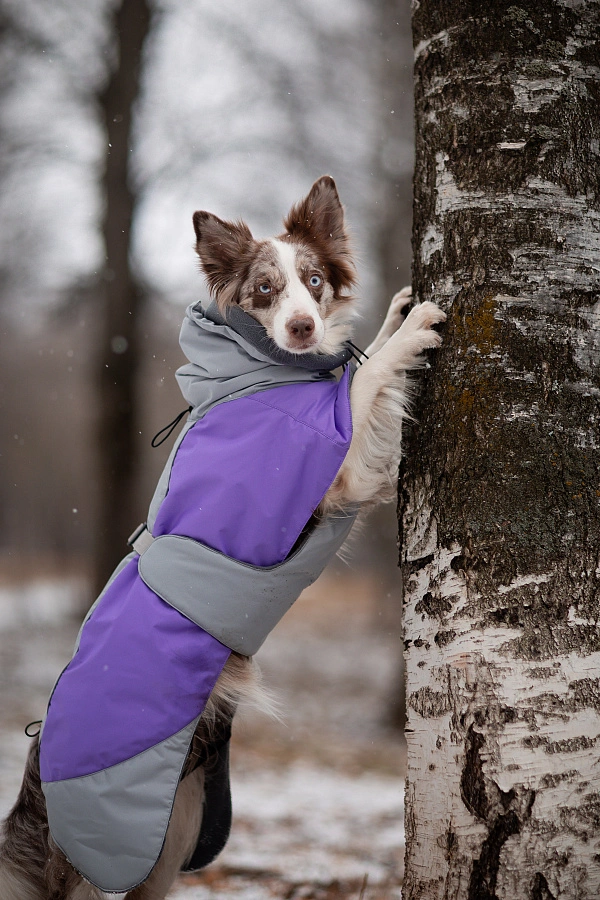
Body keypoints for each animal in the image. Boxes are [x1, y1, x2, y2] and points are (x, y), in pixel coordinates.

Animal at [0, 172, 446, 896]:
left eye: (314, 280)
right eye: (264, 289)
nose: (301, 326)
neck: (259, 370)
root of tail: (29, 797)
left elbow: (359, 370)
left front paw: (392, 314)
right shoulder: (341, 470)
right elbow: (364, 381)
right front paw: (409, 331)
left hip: (170, 843)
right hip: (108, 860)